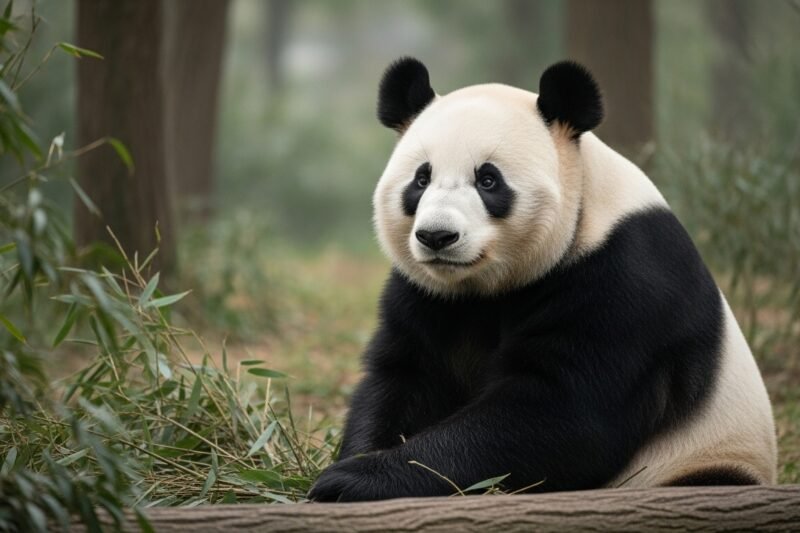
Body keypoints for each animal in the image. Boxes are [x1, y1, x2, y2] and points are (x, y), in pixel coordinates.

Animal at [309, 58, 777, 502]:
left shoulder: (625, 278)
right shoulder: (427, 294)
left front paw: (352, 480)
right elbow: (407, 378)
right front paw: (354, 461)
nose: (437, 236)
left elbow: (560, 413)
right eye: (421, 179)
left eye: (488, 179)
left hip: (701, 454)